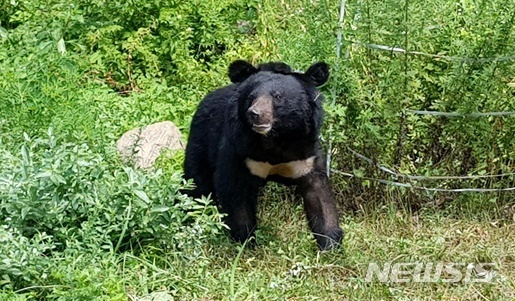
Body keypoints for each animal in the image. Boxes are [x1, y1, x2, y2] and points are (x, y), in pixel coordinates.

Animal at [183, 59, 344, 250]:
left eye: (278, 96)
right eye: (251, 97)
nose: (255, 114)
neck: (276, 139)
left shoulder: (306, 154)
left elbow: (319, 195)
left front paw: (330, 243)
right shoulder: (239, 149)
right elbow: (235, 190)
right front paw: (246, 240)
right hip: (201, 141)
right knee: (197, 184)